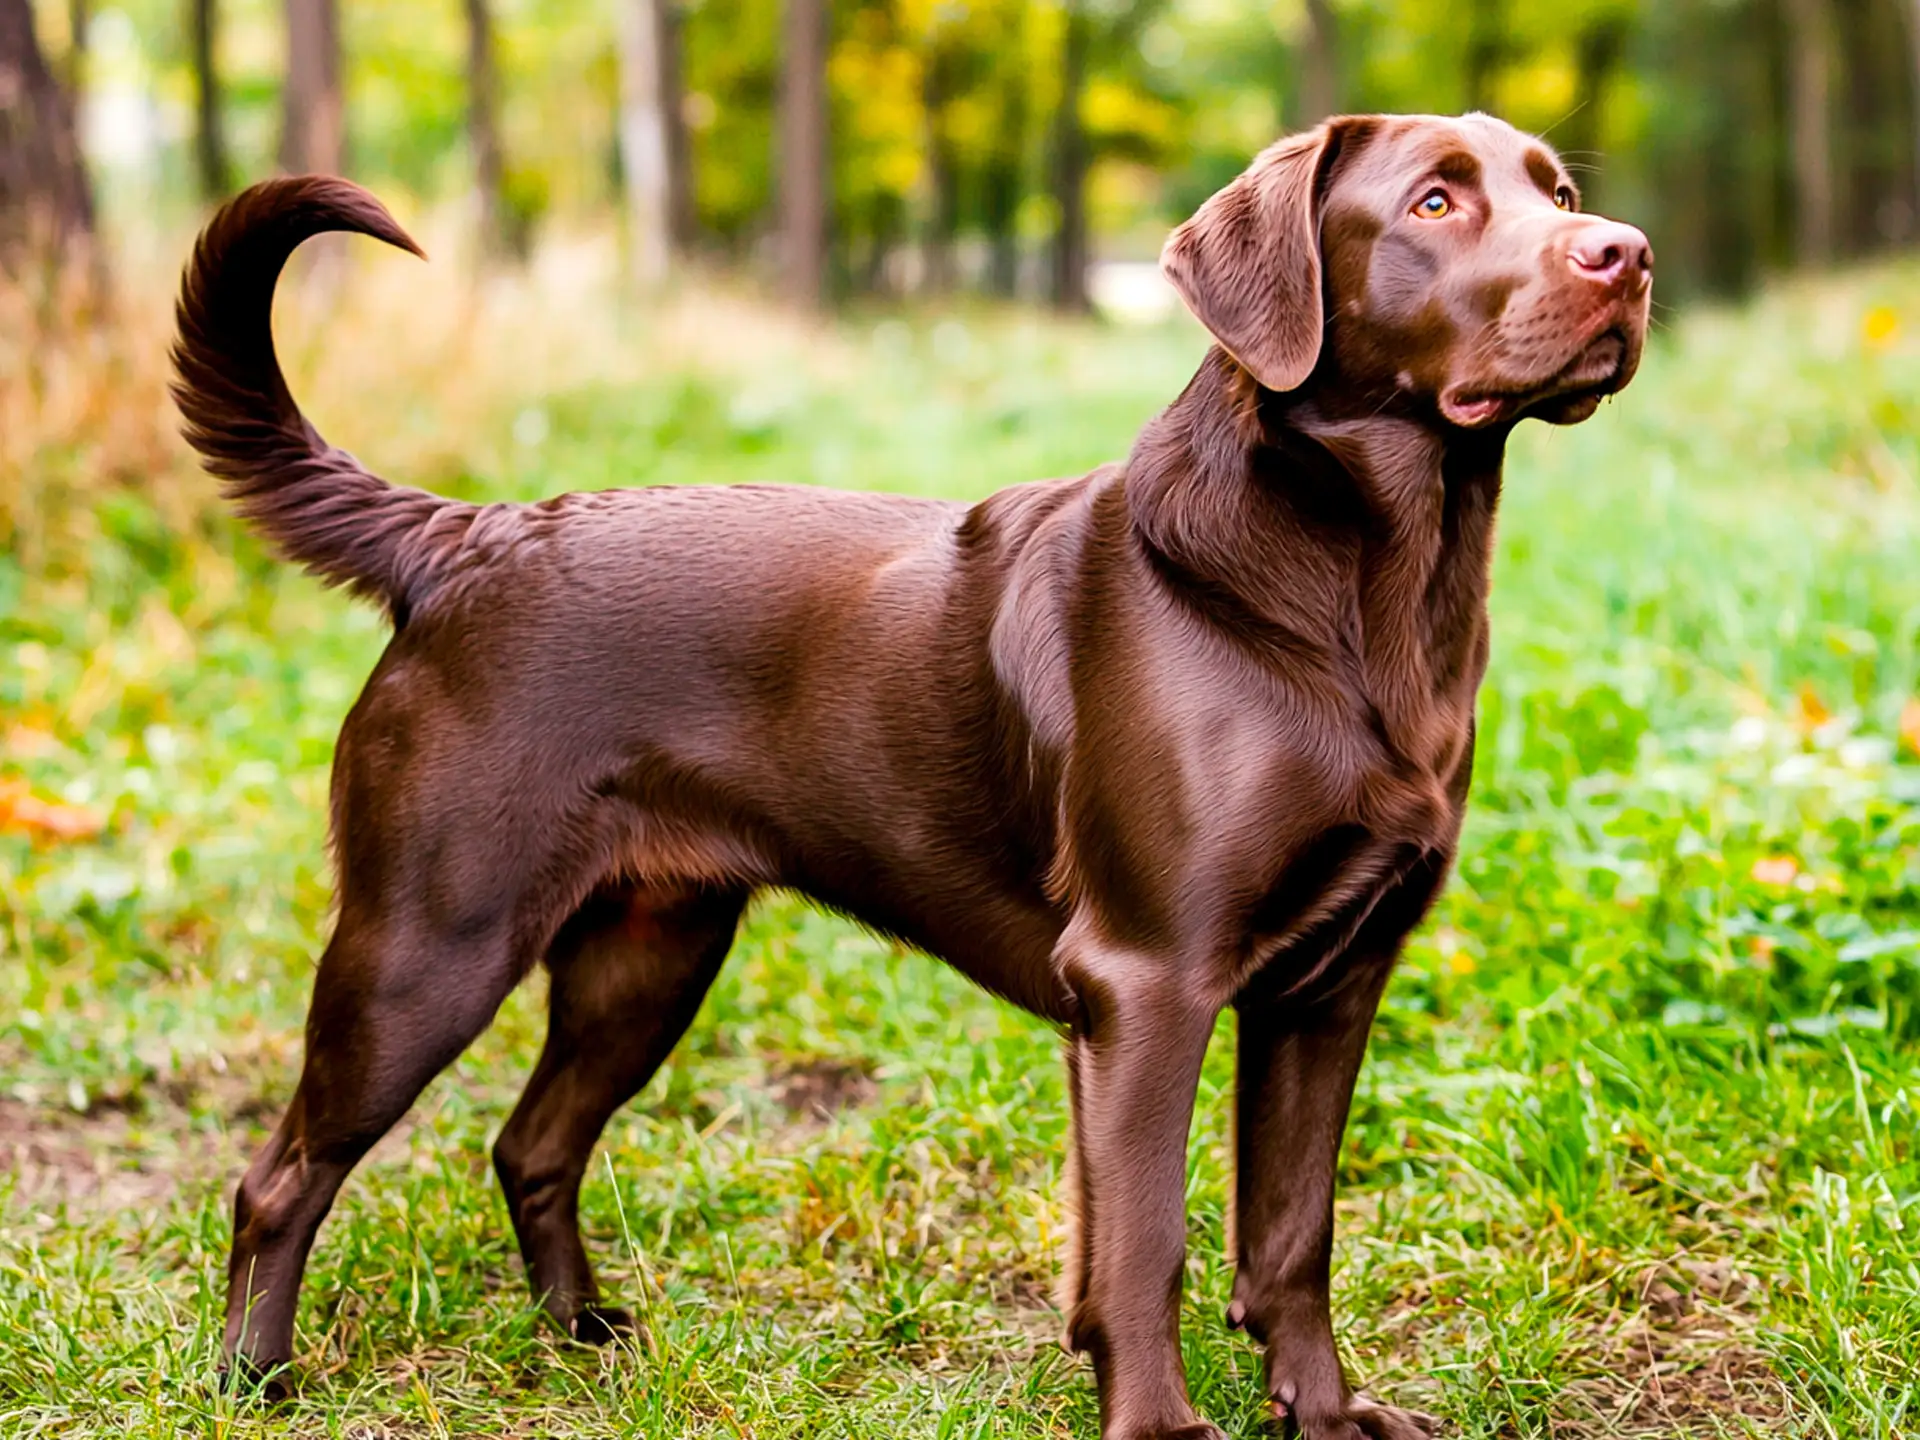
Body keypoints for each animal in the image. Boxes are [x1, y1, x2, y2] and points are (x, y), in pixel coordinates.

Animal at [172, 115, 1651, 1440]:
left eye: (1560, 191)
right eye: (1436, 203)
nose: (1625, 254)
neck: (1364, 590)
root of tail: (464, 541)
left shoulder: (1333, 986)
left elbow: (1292, 1235)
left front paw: (1329, 1417)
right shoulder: (1147, 978)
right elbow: (1143, 1242)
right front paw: (1162, 1428)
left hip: (648, 955)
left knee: (531, 1144)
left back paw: (577, 1331)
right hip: (428, 945)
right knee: (279, 1176)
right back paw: (255, 1380)